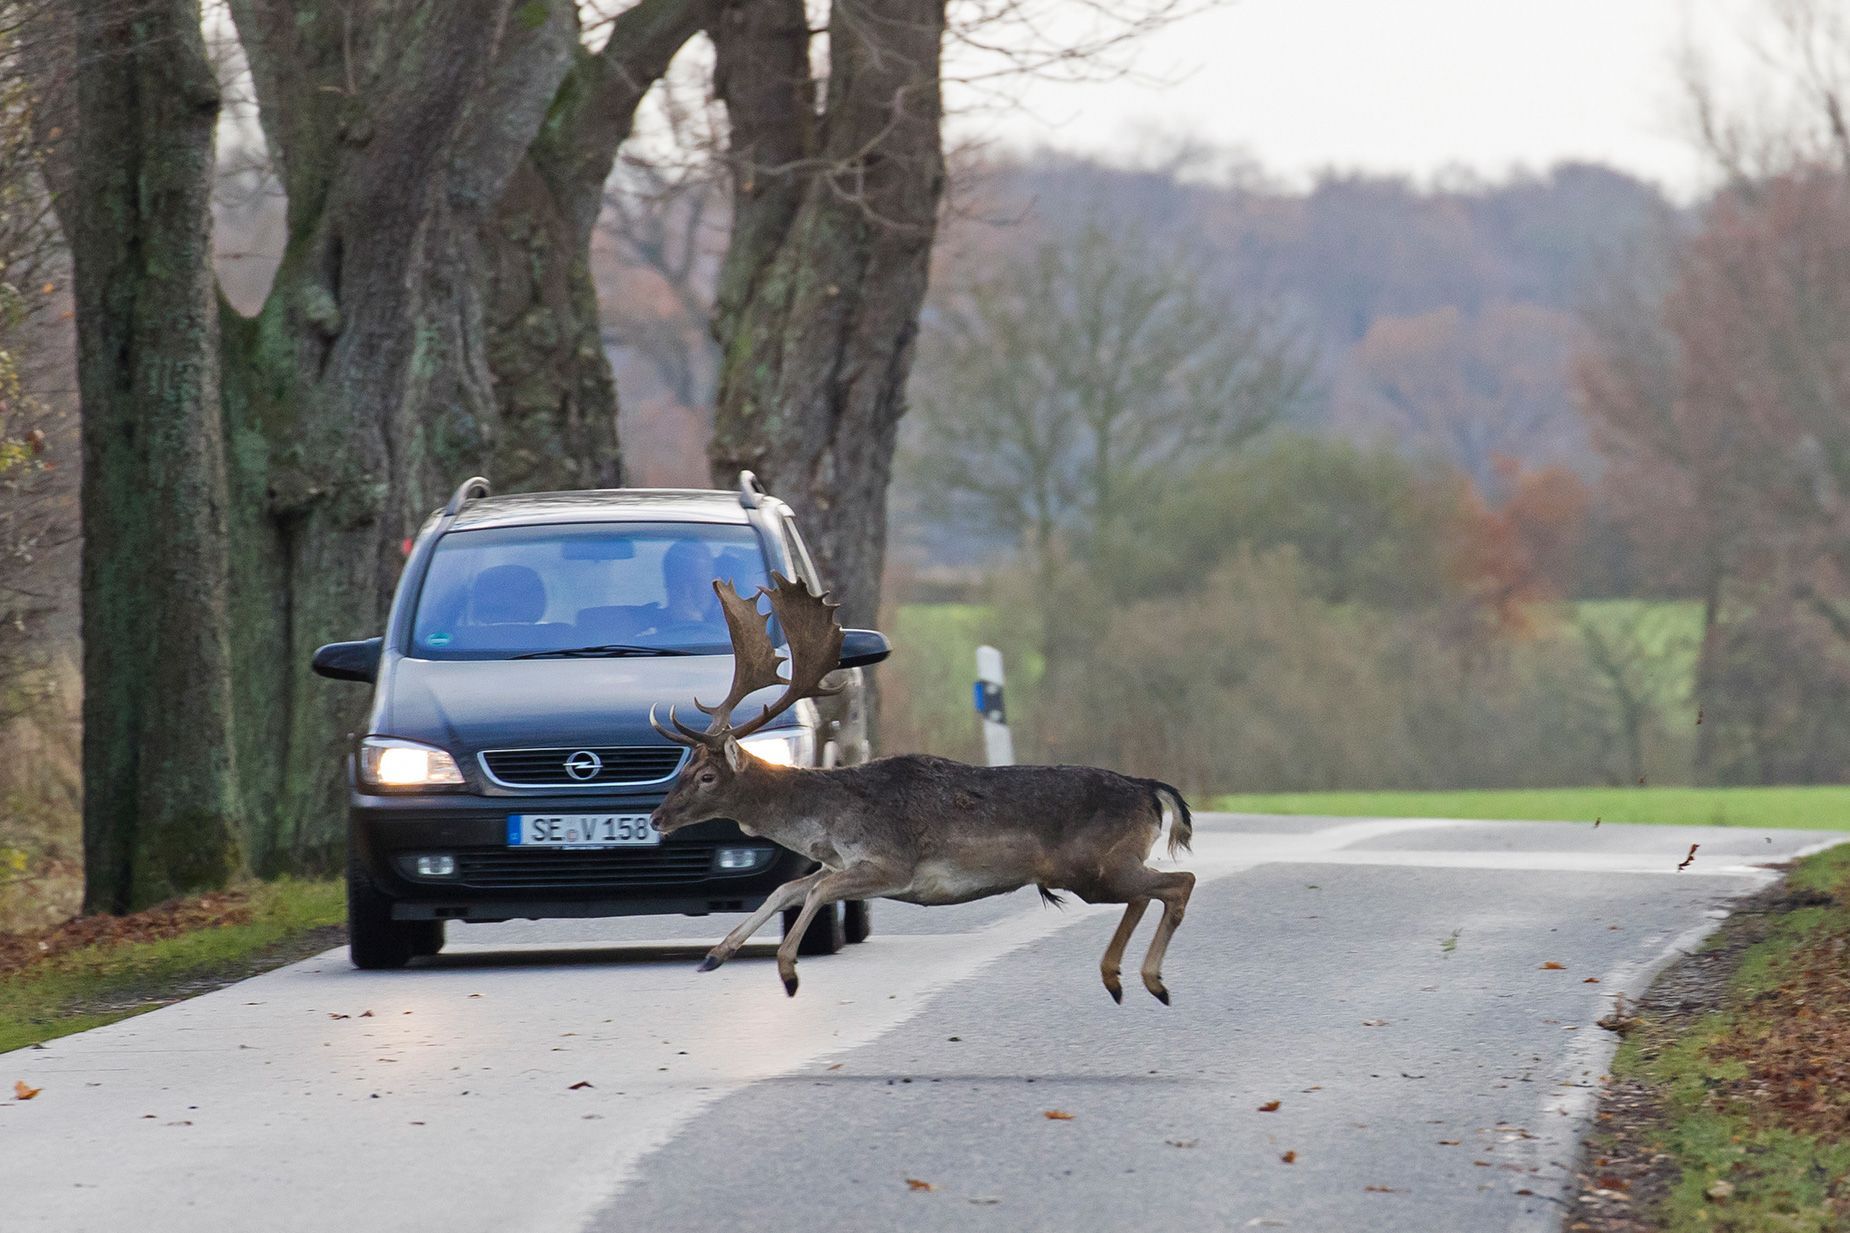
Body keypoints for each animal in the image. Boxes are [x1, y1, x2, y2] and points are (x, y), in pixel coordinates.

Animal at [651, 573, 1198, 999]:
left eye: (707, 775)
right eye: (688, 766)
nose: (657, 817)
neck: (824, 820)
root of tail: (1150, 790)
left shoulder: (891, 863)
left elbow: (816, 891)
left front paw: (787, 970)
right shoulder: (843, 862)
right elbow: (788, 888)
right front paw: (715, 955)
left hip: (1096, 866)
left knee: (1178, 882)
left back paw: (1151, 980)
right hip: (1100, 872)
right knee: (1149, 893)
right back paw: (1117, 977)